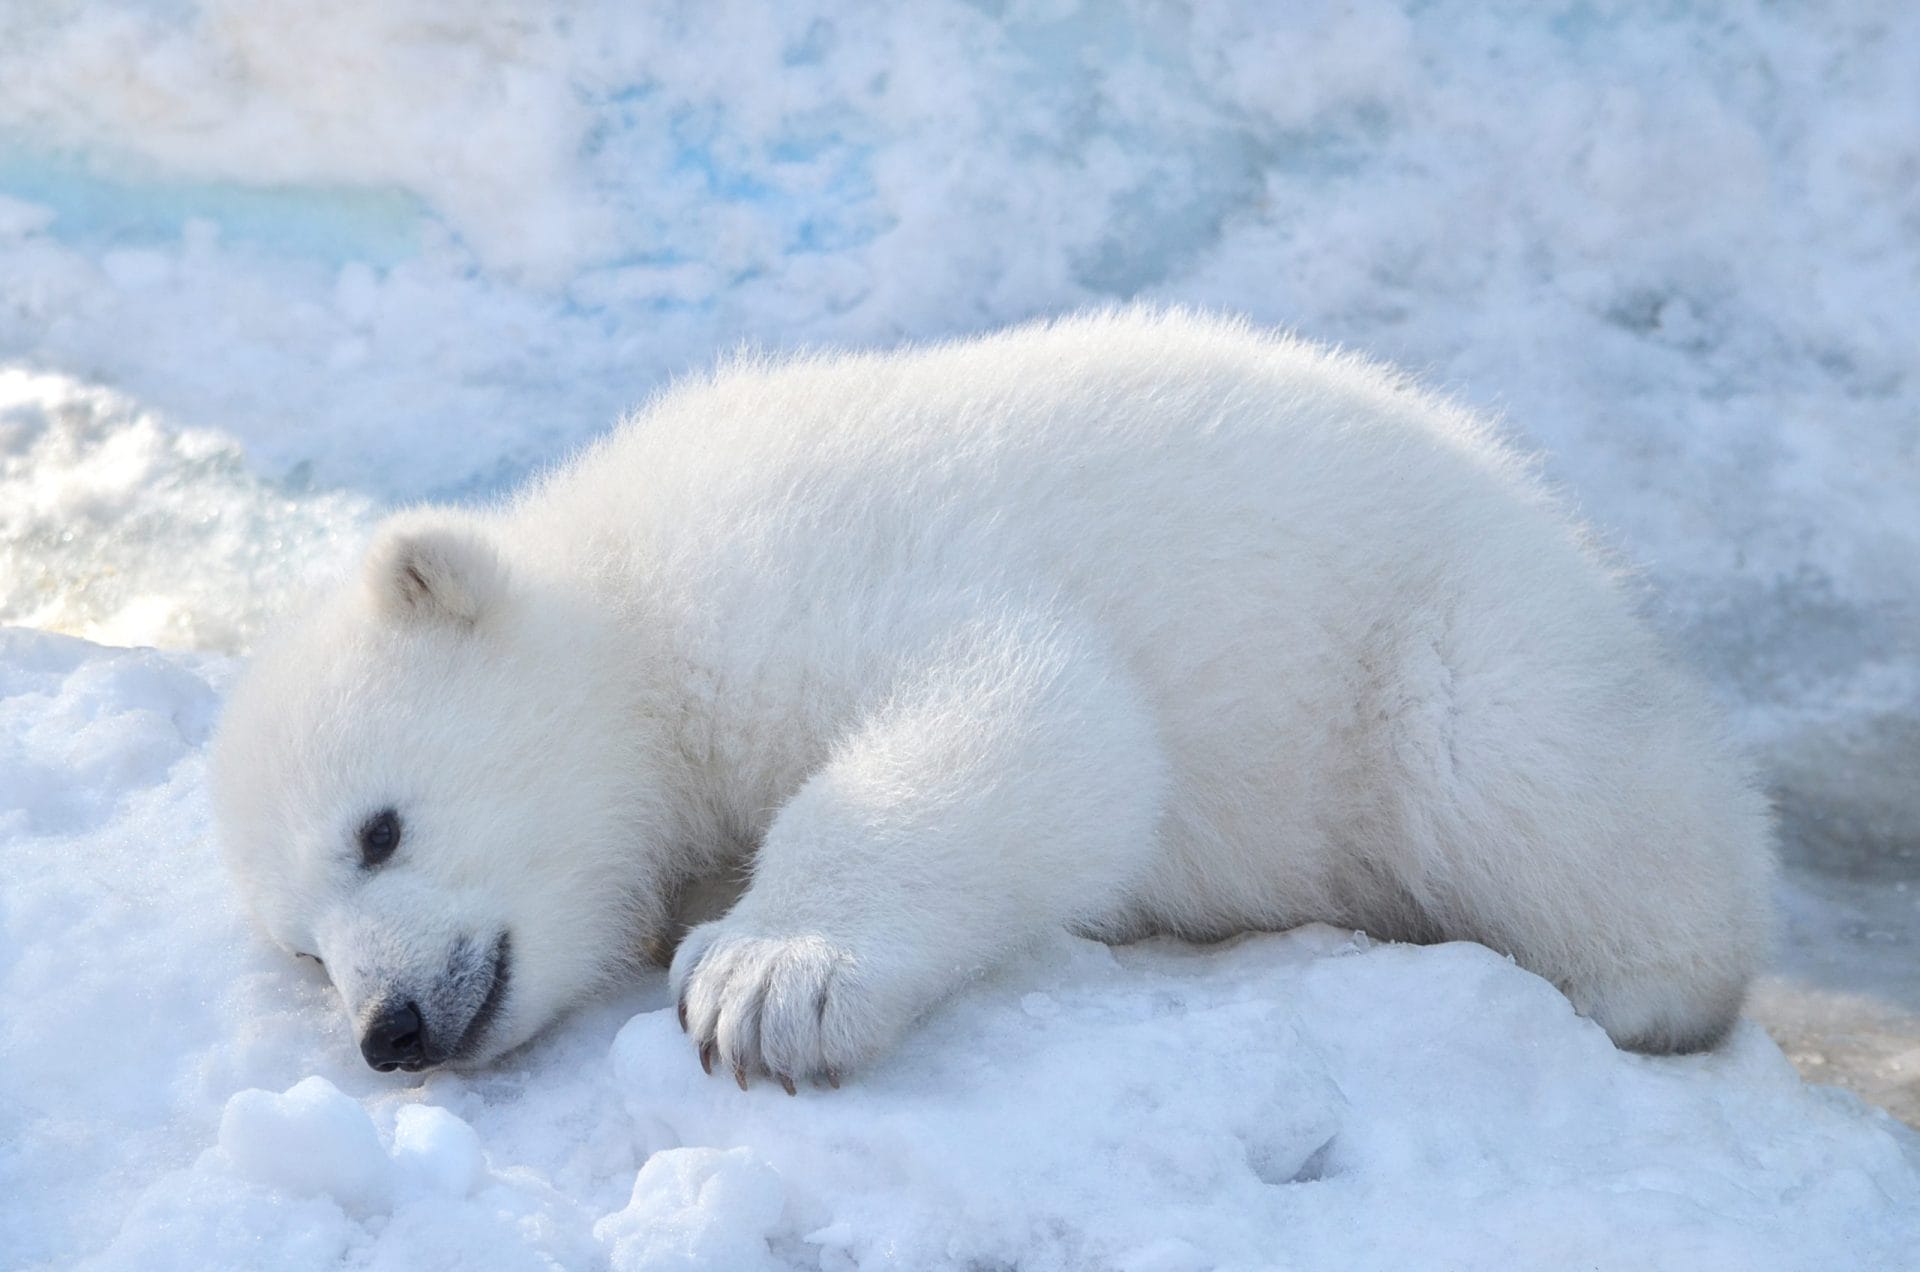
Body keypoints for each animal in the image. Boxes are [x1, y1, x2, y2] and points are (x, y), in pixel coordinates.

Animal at [211, 308, 1773, 1087]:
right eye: (302, 947)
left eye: (380, 830)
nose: (389, 1032)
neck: (635, 589)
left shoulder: (807, 570)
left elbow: (1036, 718)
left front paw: (763, 981)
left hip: (1447, 640)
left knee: (1518, 771)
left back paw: (1642, 985)